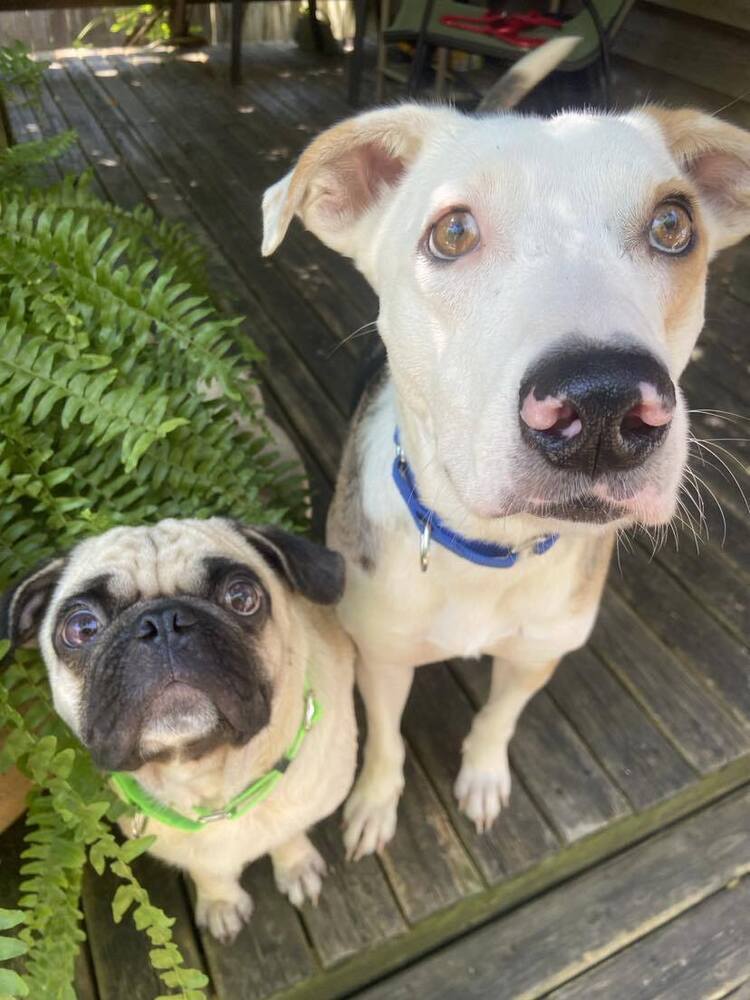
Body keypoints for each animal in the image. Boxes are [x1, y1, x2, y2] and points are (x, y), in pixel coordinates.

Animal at [262, 80, 750, 860]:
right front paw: (374, 803)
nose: (604, 404)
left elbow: (499, 718)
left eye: (673, 225)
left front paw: (484, 777)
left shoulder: (536, 654)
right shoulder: (384, 656)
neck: (488, 552)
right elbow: (387, 741)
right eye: (453, 233)